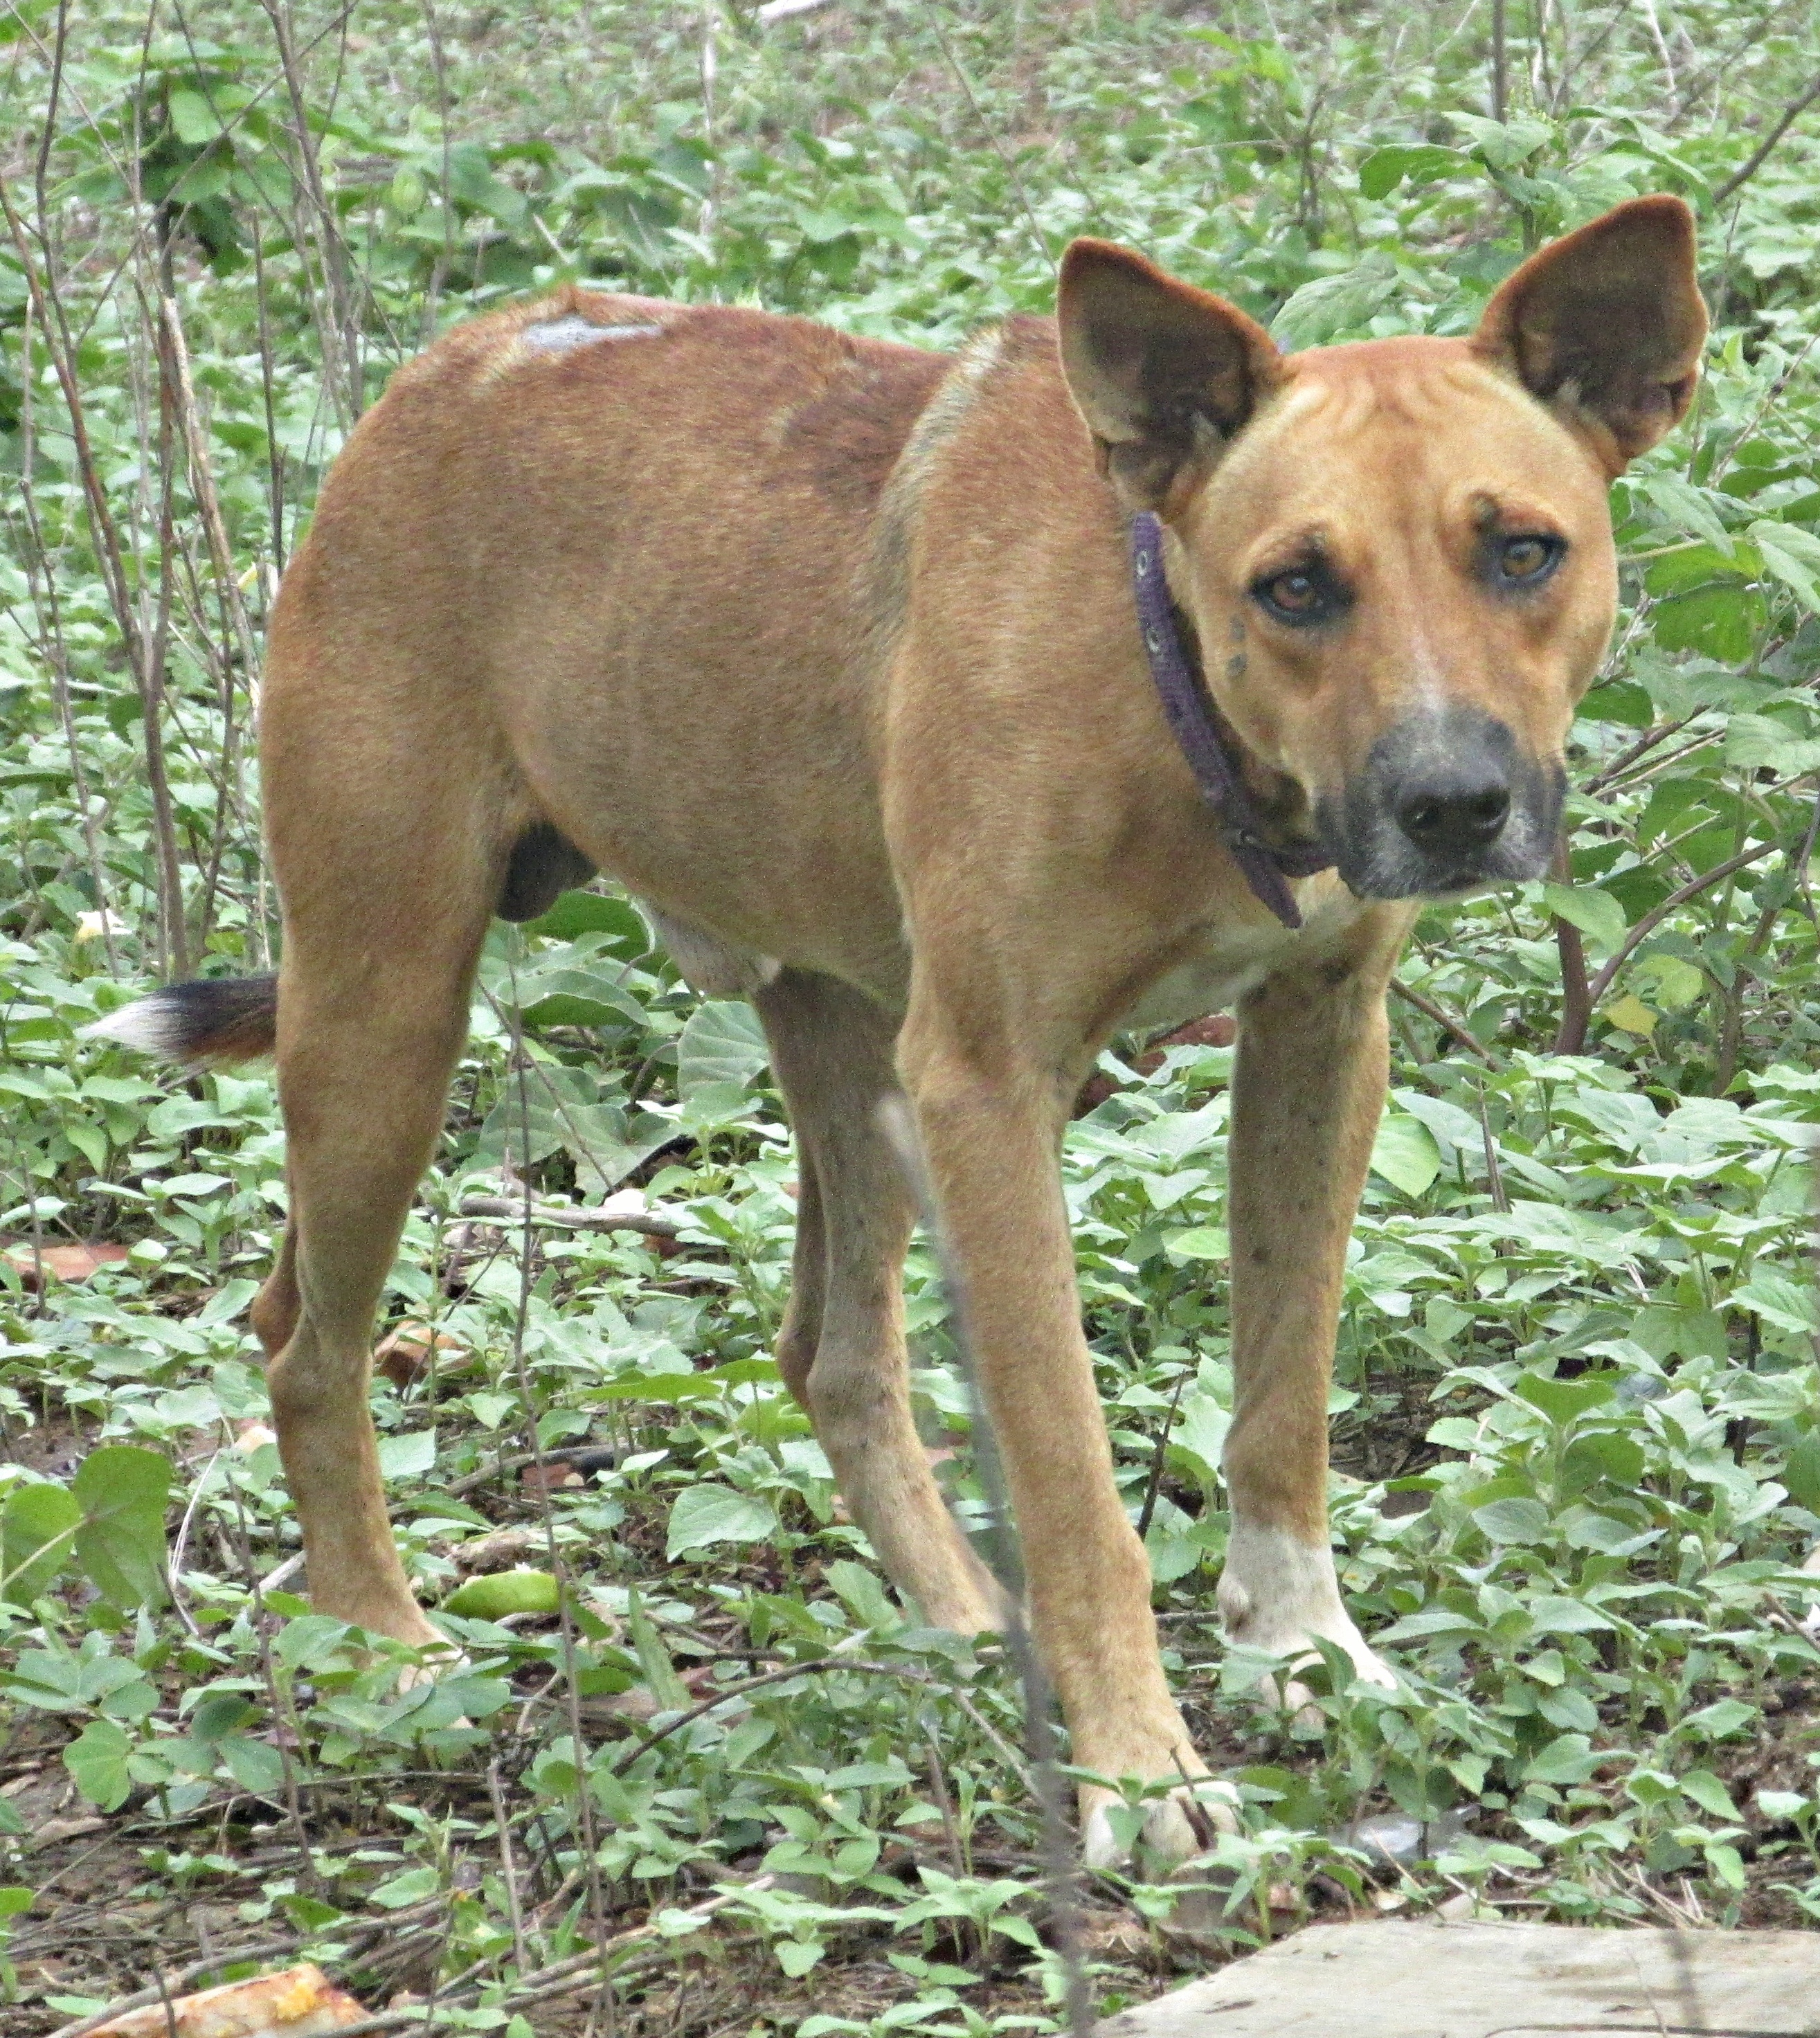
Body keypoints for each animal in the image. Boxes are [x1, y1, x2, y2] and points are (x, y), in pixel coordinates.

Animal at [84, 195, 1704, 1866]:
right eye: (1296, 585)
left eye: (1523, 551)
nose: (1451, 806)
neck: (1168, 681)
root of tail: (447, 364)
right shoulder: (987, 1091)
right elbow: (1071, 1482)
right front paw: (1138, 1767)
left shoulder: (1320, 1042)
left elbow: (1283, 1399)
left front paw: (1298, 1646)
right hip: (389, 1008)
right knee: (306, 1345)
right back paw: (386, 1646)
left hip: (840, 1039)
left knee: (833, 1355)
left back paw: (960, 1624)